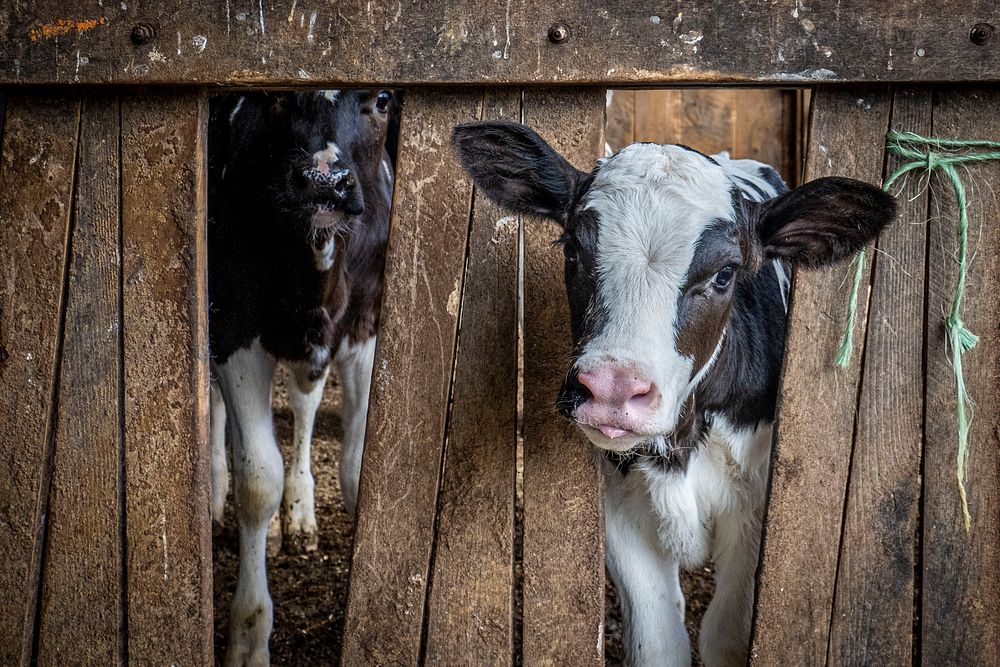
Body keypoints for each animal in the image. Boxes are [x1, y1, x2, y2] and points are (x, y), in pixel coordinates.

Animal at [208, 90, 394, 667]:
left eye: (382, 99)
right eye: (274, 96)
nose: (322, 181)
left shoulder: (366, 326)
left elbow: (357, 472)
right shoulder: (234, 328)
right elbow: (256, 480)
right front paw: (248, 637)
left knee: (305, 403)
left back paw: (301, 511)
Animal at [450, 122, 896, 664]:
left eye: (725, 273)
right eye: (572, 249)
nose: (612, 388)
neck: (680, 448)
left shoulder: (754, 508)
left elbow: (727, 635)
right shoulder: (621, 506)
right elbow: (658, 642)